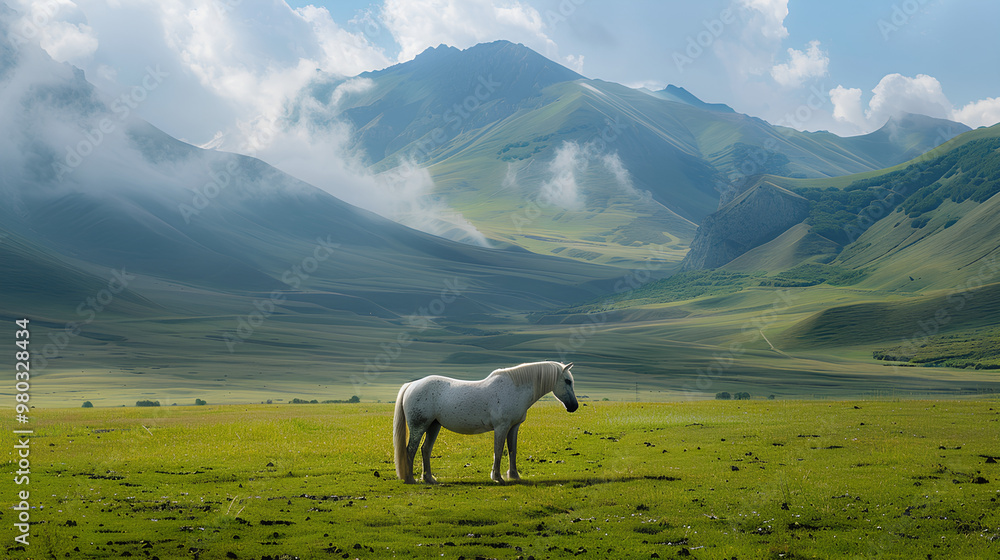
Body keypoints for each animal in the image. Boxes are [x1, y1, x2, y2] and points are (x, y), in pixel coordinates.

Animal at [393, 361, 578, 484]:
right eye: (567, 381)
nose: (574, 406)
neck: (515, 388)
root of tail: (411, 385)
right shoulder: (501, 427)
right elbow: (499, 450)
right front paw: (498, 477)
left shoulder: (514, 427)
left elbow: (512, 450)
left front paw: (514, 475)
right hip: (419, 426)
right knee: (410, 450)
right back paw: (410, 479)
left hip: (434, 426)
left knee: (425, 449)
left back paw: (429, 478)